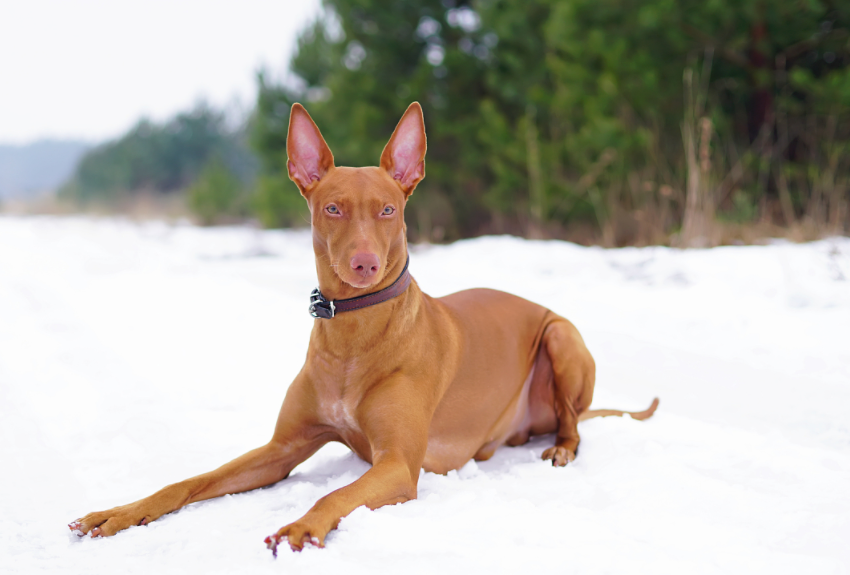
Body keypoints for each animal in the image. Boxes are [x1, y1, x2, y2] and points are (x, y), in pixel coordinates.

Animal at [69, 102, 660, 552]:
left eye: (388, 211)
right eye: (332, 208)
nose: (364, 266)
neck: (353, 334)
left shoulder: (398, 465)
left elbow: (333, 494)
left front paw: (303, 525)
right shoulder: (281, 448)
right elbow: (192, 480)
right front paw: (122, 512)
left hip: (560, 336)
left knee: (574, 423)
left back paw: (561, 448)